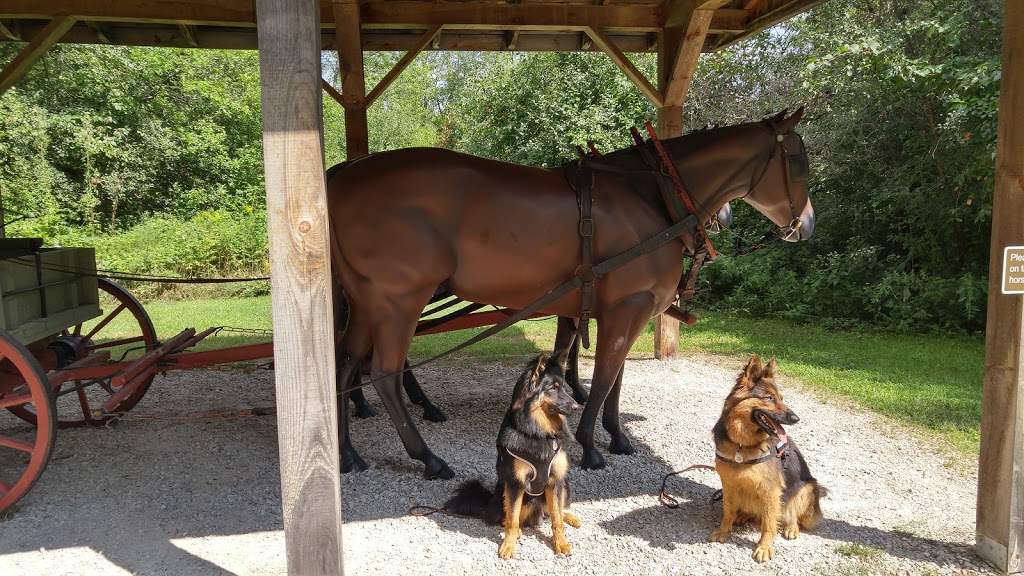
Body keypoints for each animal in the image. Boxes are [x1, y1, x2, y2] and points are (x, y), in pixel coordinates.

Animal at [327, 106, 815, 475]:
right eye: (797, 160)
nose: (806, 225)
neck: (654, 197)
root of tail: (340, 179)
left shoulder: (619, 310)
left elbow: (611, 376)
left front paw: (616, 434)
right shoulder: (628, 307)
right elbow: (603, 376)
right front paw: (590, 445)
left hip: (367, 301)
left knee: (345, 364)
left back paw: (348, 453)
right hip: (399, 300)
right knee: (383, 372)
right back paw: (427, 456)